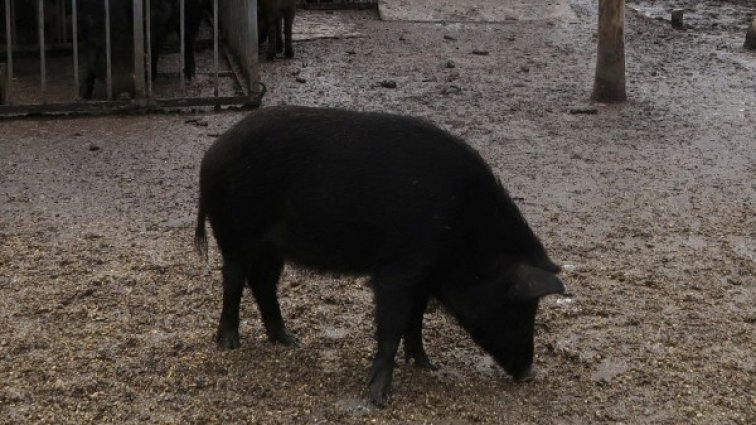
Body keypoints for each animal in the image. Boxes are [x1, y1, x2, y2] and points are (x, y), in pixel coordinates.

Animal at [195, 105, 568, 404]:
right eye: (519, 306)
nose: (530, 374)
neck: (465, 235)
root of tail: (211, 152)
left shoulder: (423, 278)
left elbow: (415, 321)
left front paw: (427, 365)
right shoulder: (397, 270)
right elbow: (392, 325)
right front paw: (379, 399)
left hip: (272, 246)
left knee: (263, 283)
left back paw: (290, 341)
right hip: (235, 232)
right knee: (232, 279)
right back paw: (229, 344)